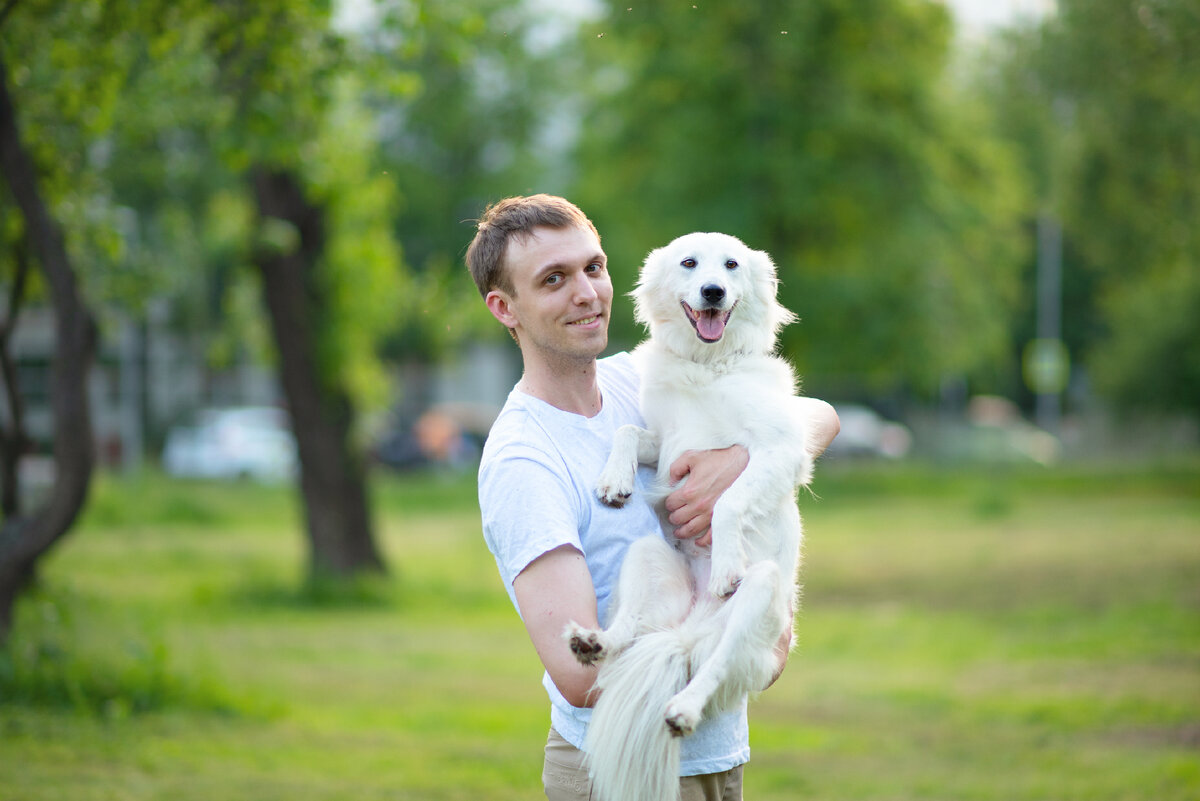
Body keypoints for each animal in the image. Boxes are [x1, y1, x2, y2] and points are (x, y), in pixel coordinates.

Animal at [561, 230, 816, 801]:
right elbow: (627, 432)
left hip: (761, 591)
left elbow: (727, 501)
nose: (714, 292)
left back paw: (683, 707)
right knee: (627, 634)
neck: (708, 363)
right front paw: (615, 480)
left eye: (732, 265)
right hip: (645, 557)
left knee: (715, 667)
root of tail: (690, 631)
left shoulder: (779, 451)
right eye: (689, 263)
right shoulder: (666, 444)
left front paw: (724, 565)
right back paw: (593, 641)